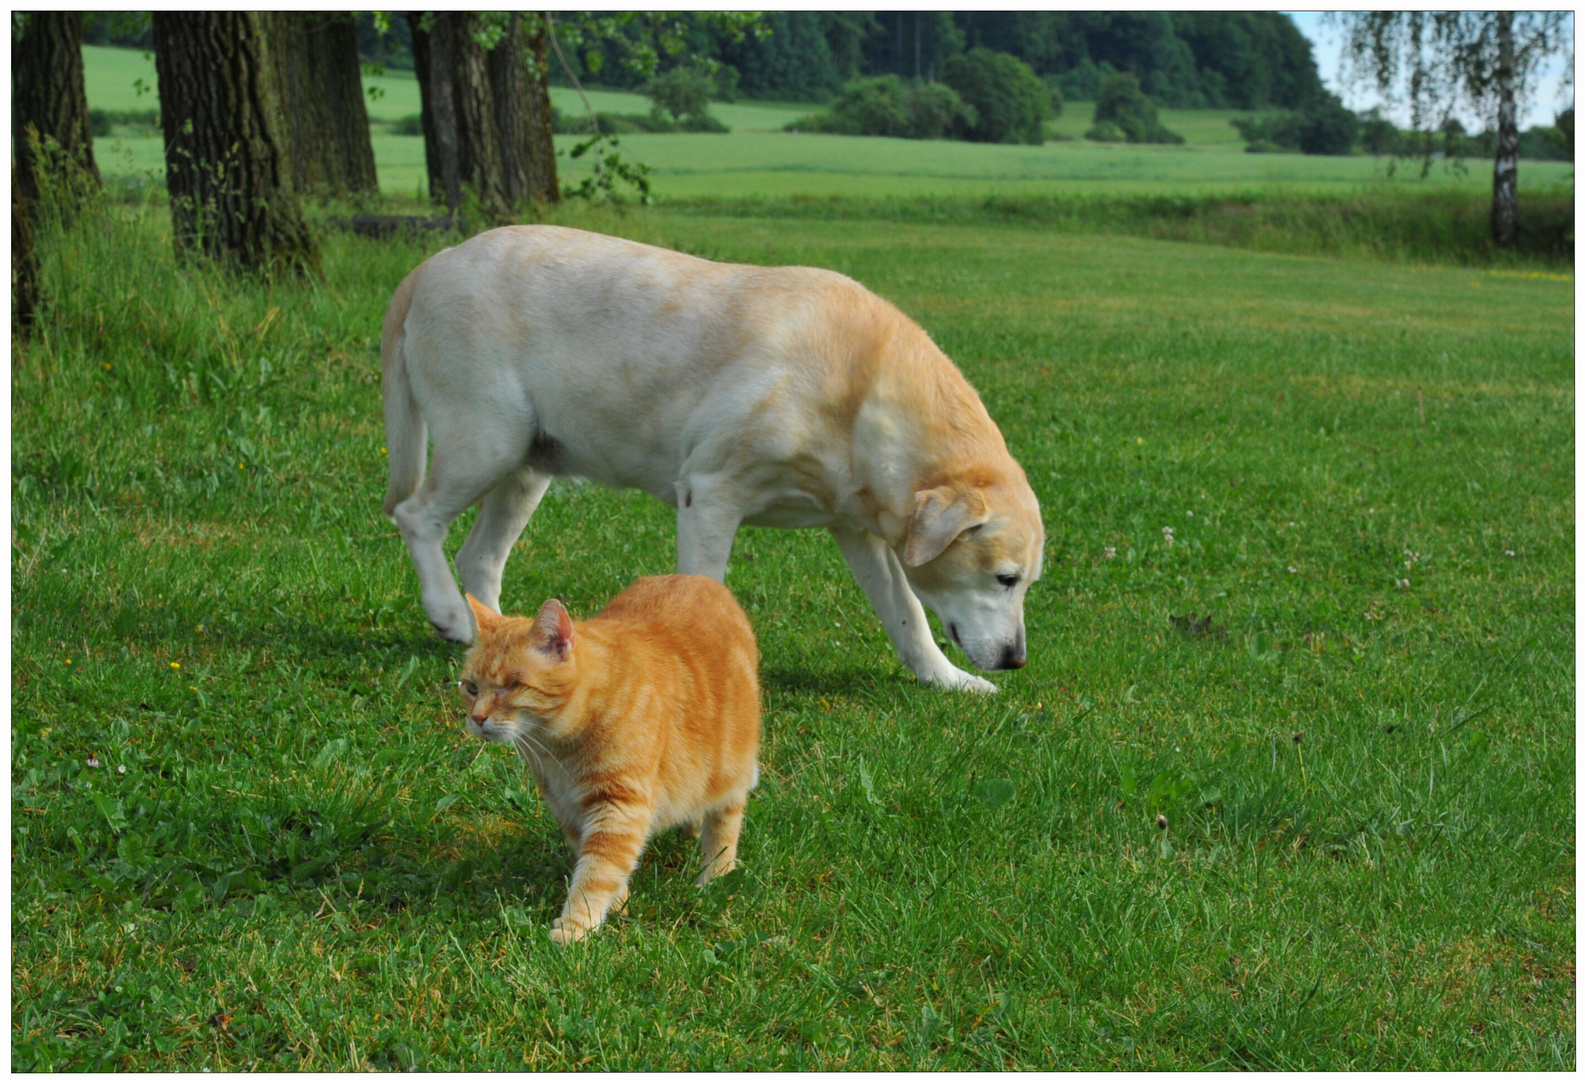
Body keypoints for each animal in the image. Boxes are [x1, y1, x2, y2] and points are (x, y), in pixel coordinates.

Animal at [381, 226, 1039, 691]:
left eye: (1027, 583)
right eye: (1004, 579)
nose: (1016, 660)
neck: (858, 392)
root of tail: (432, 263)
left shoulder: (861, 533)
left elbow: (908, 617)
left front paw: (949, 681)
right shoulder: (711, 493)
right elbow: (704, 593)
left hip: (527, 467)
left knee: (479, 558)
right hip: (486, 441)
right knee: (416, 516)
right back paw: (447, 612)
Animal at [459, 574, 760, 945]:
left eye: (512, 686)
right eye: (471, 687)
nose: (477, 718)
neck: (560, 749)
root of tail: (701, 579)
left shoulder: (618, 805)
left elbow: (597, 872)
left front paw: (575, 926)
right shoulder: (568, 810)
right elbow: (596, 863)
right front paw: (618, 905)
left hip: (730, 769)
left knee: (724, 825)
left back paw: (715, 876)